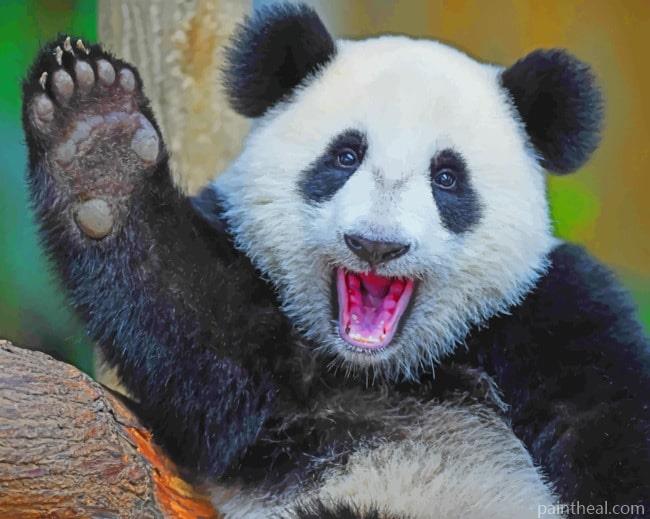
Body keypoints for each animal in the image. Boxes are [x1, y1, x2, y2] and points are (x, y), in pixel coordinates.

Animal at [21, 3, 650, 519]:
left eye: (447, 177)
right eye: (345, 156)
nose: (376, 244)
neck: (385, 370)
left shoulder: (549, 311)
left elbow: (607, 426)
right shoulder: (263, 368)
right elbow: (198, 337)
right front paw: (97, 140)